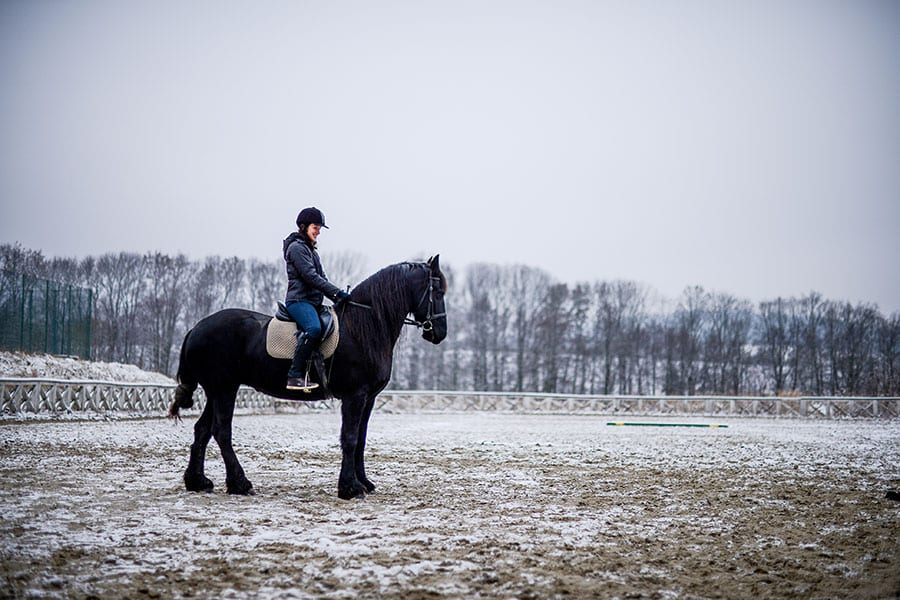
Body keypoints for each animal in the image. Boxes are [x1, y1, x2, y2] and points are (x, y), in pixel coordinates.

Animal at [167, 255, 448, 500]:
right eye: (437, 291)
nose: (439, 333)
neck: (362, 327)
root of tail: (196, 328)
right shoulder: (355, 396)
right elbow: (349, 439)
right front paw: (350, 488)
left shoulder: (368, 398)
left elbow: (361, 439)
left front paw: (363, 483)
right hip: (225, 389)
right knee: (221, 431)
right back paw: (240, 483)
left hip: (215, 391)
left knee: (202, 430)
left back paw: (198, 482)